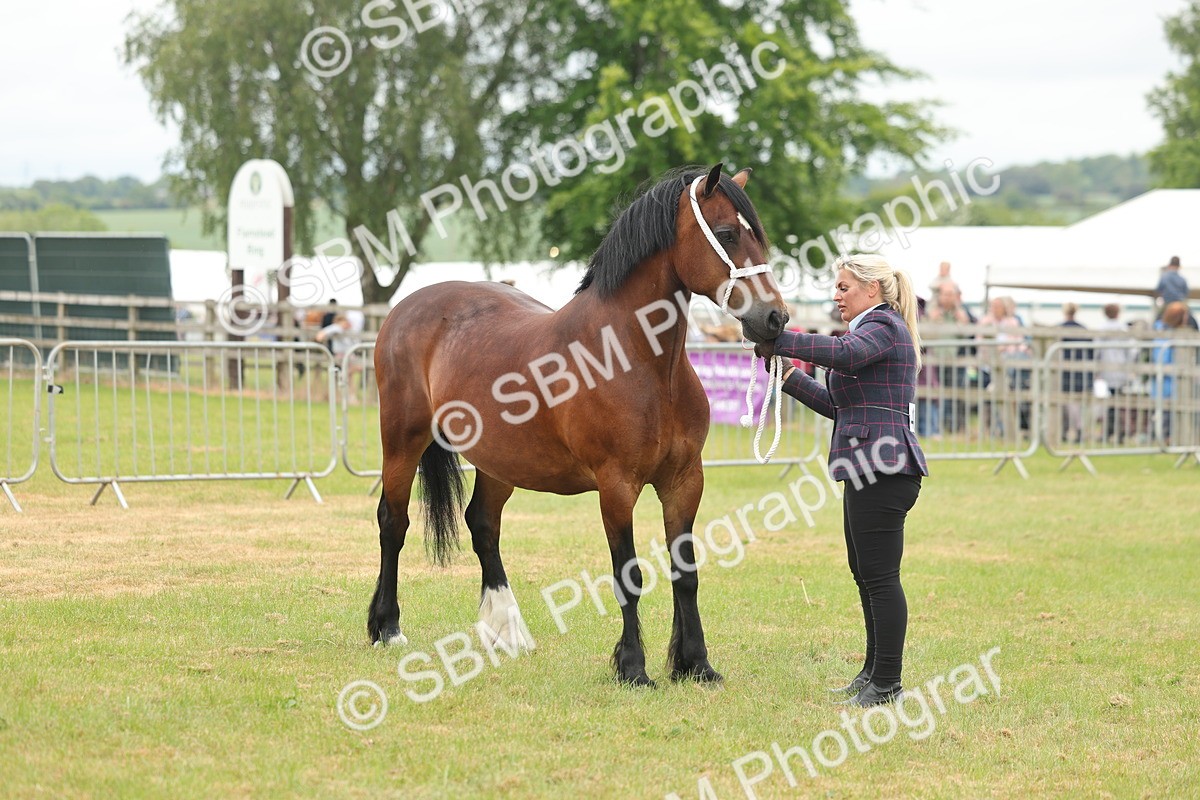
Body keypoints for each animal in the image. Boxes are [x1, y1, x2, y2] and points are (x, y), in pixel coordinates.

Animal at [367, 164, 789, 686]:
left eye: (759, 237)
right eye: (728, 234)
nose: (775, 318)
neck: (638, 361)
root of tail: (405, 308)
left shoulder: (685, 482)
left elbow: (685, 572)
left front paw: (696, 664)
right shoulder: (617, 486)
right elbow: (629, 575)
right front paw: (633, 668)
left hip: (500, 461)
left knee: (483, 525)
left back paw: (507, 631)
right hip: (402, 442)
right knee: (394, 523)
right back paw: (387, 628)